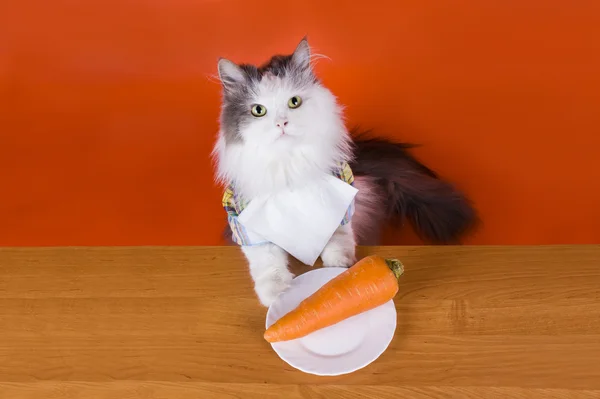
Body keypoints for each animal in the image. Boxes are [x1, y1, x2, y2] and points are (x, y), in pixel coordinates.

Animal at [213, 38, 476, 306]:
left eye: (294, 102)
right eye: (258, 110)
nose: (282, 123)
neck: (291, 166)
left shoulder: (342, 193)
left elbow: (338, 235)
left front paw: (339, 265)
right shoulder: (242, 217)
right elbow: (266, 260)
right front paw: (276, 294)